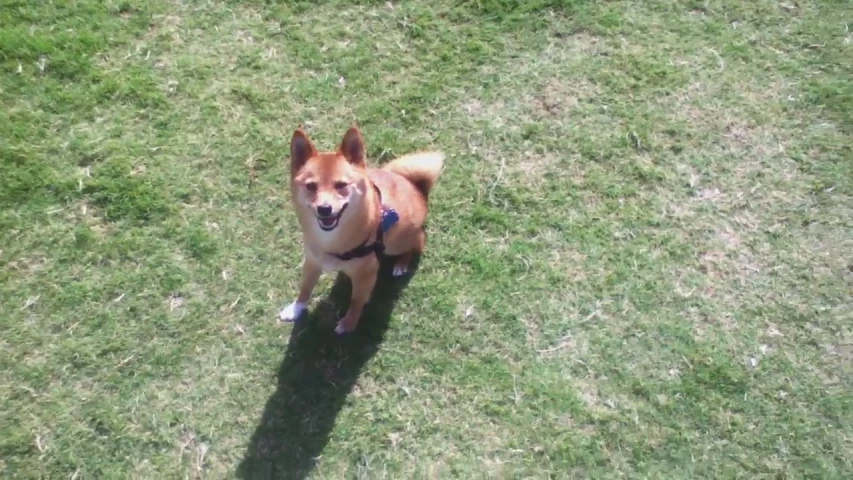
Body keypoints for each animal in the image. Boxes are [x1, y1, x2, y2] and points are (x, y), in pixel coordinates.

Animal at [280, 124, 446, 334]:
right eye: (311, 186)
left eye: (341, 185)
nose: (324, 208)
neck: (332, 240)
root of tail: (416, 188)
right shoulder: (312, 263)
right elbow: (305, 289)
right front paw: (296, 308)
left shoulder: (366, 274)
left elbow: (356, 301)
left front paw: (348, 323)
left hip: (397, 242)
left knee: (418, 241)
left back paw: (401, 264)